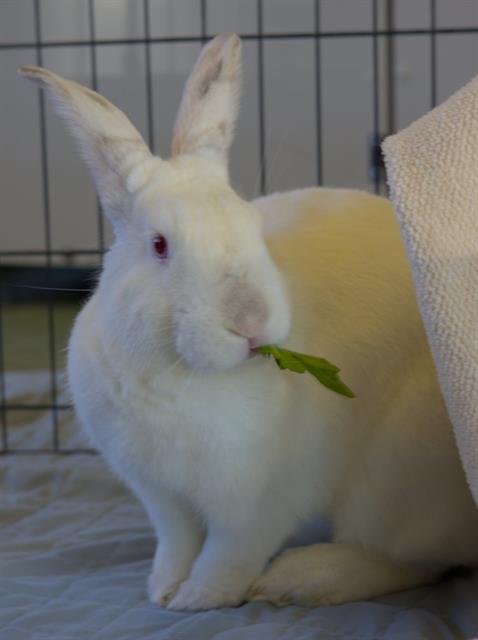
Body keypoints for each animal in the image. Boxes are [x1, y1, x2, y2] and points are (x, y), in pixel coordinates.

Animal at [19, 32, 478, 611]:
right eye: (160, 245)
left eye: (252, 224)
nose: (252, 322)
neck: (177, 375)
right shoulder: (160, 497)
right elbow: (177, 542)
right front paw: (162, 588)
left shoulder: (257, 505)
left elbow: (228, 555)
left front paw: (197, 599)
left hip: (396, 482)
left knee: (413, 560)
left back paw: (303, 577)